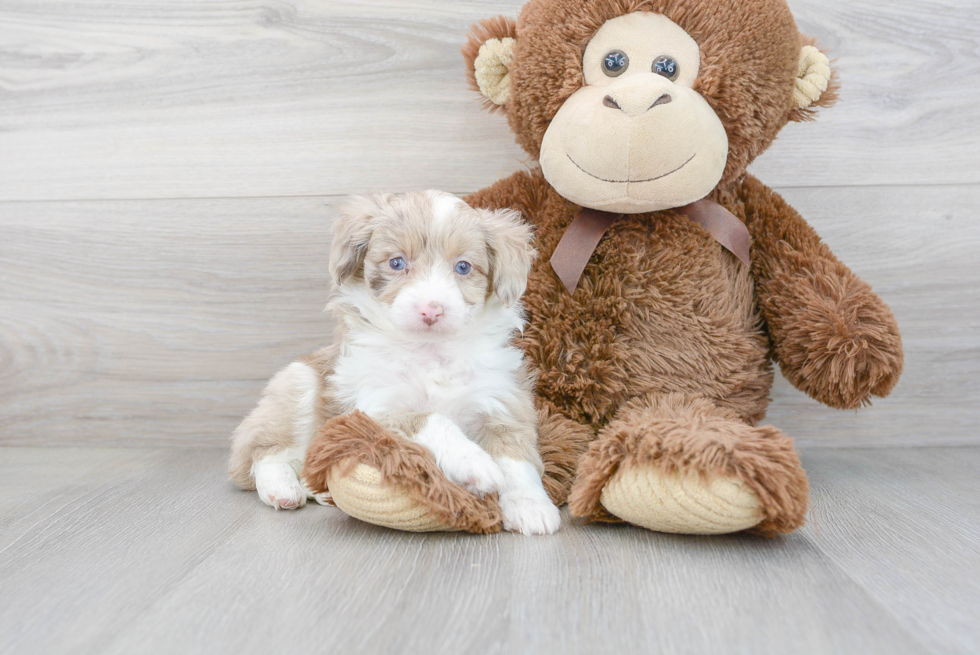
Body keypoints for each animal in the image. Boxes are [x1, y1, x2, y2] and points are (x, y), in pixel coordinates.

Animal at [229, 191, 560, 540]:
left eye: (463, 267)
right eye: (397, 262)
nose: (431, 309)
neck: (431, 351)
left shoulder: (503, 404)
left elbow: (517, 459)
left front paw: (531, 506)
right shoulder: (374, 411)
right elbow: (430, 419)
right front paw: (473, 462)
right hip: (298, 385)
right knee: (264, 452)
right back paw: (281, 488)